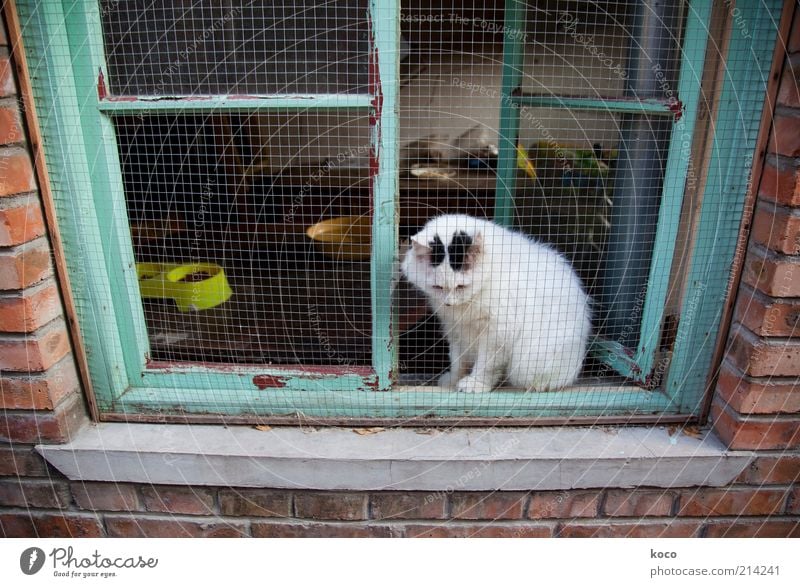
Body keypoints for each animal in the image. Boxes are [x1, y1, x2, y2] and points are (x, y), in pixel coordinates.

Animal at [404, 214, 592, 392]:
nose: (449, 303)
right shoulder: (455, 329)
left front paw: (476, 384)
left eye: (461, 286)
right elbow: (458, 361)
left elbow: (486, 365)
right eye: (437, 287)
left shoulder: (497, 332)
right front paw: (453, 381)